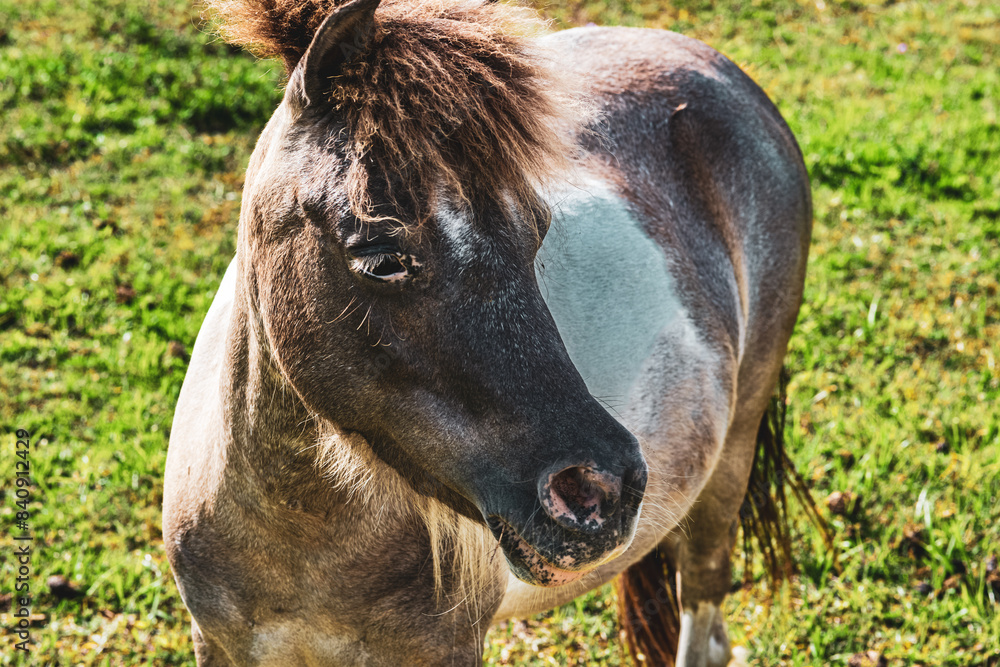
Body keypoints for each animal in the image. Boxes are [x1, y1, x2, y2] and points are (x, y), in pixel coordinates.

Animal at [162, 0, 812, 664]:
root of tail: (717, 69)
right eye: (381, 256)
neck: (300, 537)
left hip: (728, 466)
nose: (602, 492)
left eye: (538, 232)